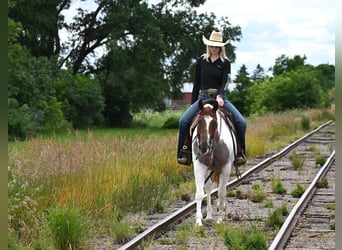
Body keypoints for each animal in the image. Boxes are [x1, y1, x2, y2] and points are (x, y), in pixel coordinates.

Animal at [191, 98, 236, 226]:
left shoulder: (226, 168)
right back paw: (209, 216)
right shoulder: (199, 167)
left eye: (215, 123)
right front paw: (198, 222)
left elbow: (221, 193)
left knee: (221, 189)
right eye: (199, 121)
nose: (203, 147)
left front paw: (220, 219)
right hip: (208, 169)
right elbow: (200, 193)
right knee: (209, 187)